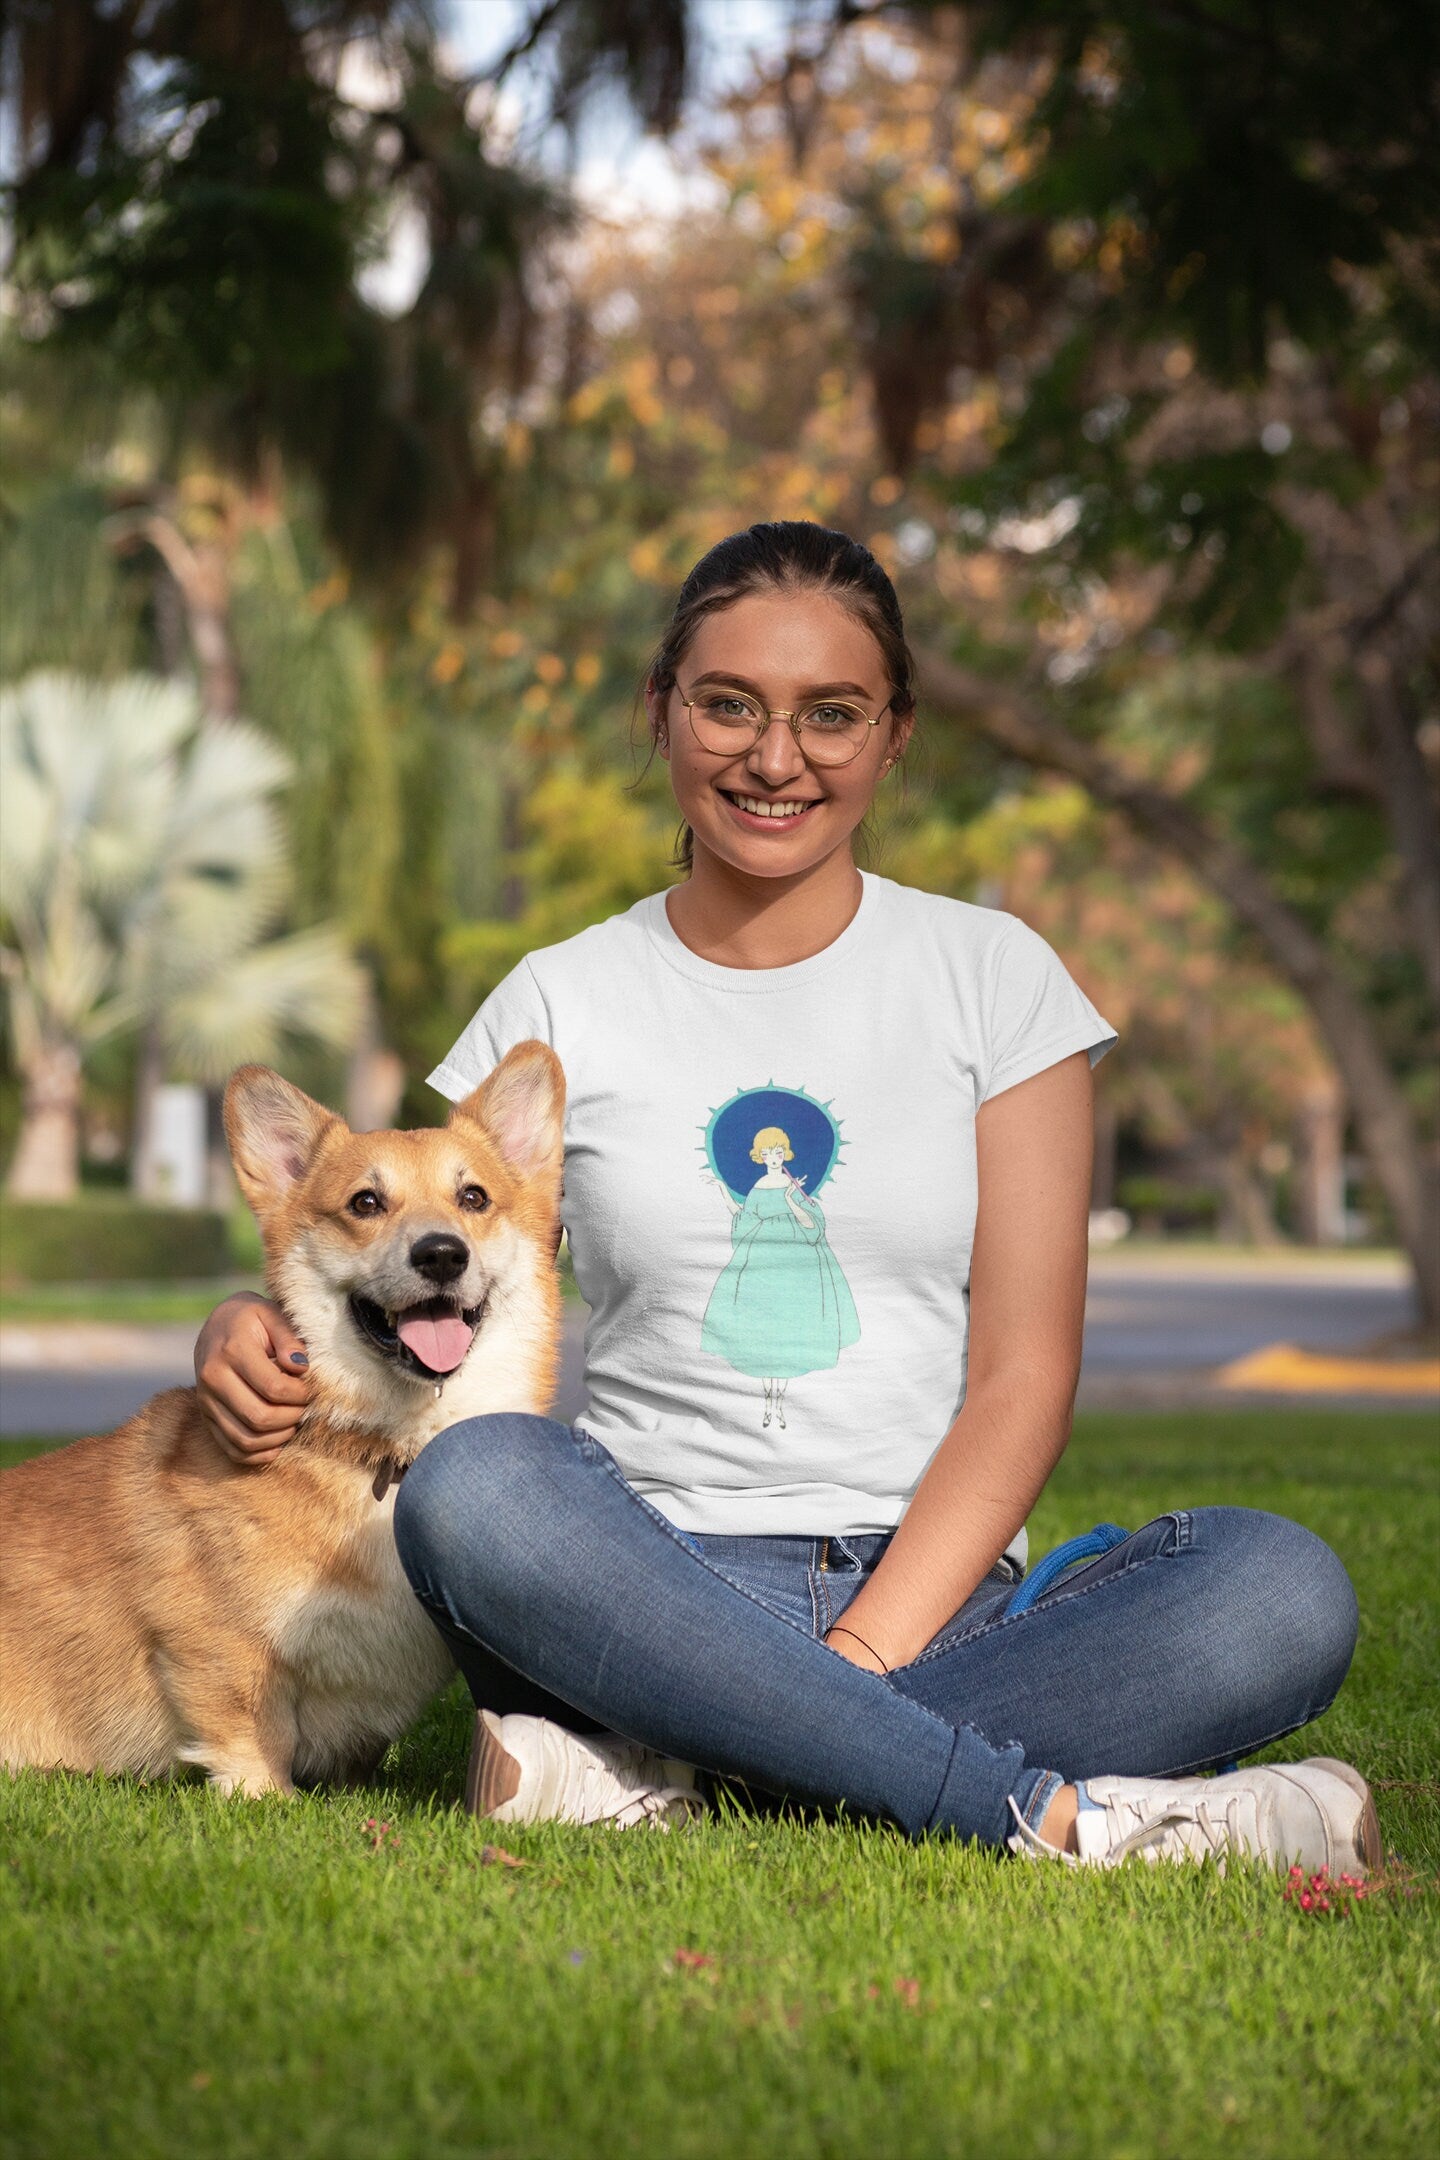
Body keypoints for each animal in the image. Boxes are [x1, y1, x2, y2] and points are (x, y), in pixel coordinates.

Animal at [0, 1036, 561, 1797]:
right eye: (365, 1202)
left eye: (473, 1198)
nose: (442, 1253)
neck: (383, 1450)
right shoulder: (218, 1647)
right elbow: (251, 1729)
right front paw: (267, 1796)